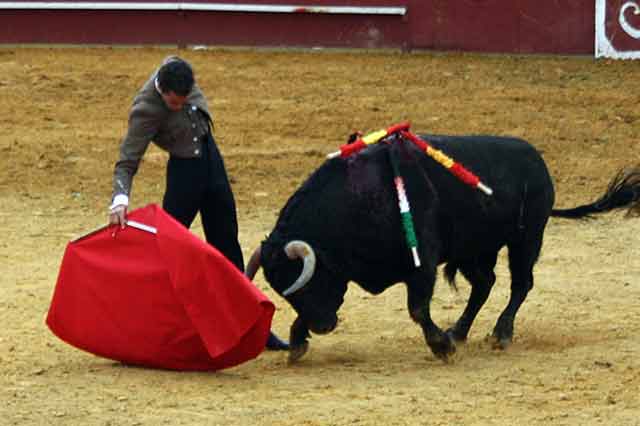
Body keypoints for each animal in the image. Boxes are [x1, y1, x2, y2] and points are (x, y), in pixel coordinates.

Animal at [246, 134, 640, 362]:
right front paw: (297, 340)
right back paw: (460, 330)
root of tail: (538, 162)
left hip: (526, 239)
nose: (323, 326)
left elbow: (418, 308)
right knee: (484, 284)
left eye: (306, 283)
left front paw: (440, 347)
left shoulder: (423, 262)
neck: (356, 198)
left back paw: (500, 333)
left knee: (520, 284)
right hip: (473, 250)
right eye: (286, 292)